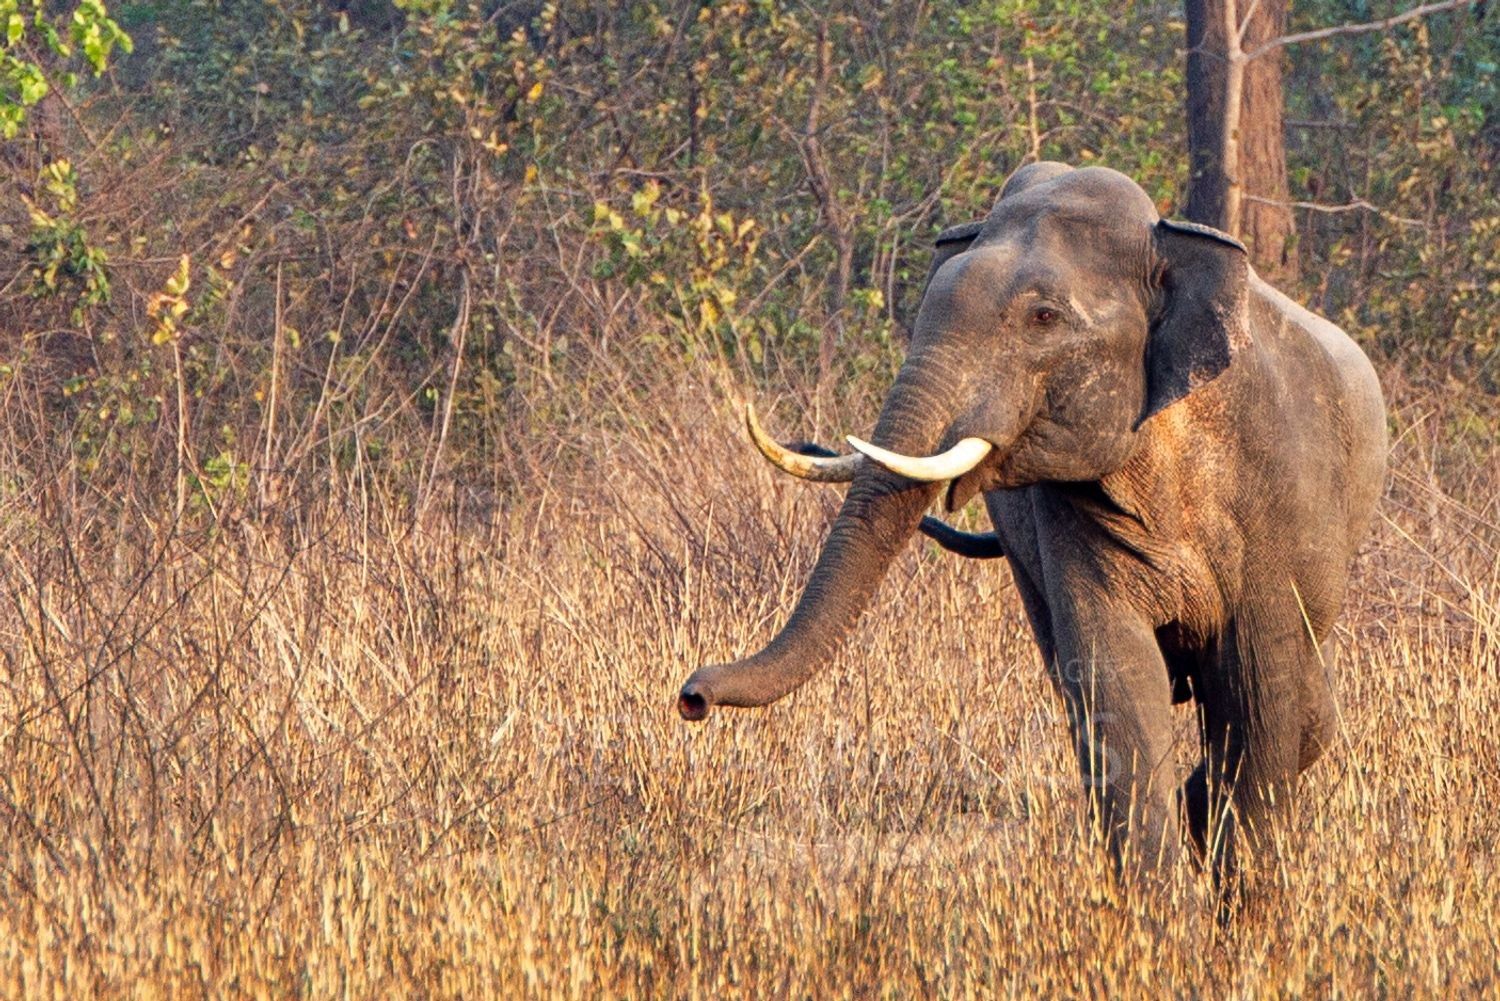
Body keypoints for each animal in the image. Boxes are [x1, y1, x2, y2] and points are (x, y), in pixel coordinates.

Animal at [677, 162, 1387, 885]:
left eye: (1043, 318)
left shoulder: (1285, 492)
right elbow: (1114, 679)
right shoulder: (1068, 518)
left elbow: (1259, 693)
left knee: (1304, 708)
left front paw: (1246, 905)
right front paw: (1161, 911)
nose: (692, 696)